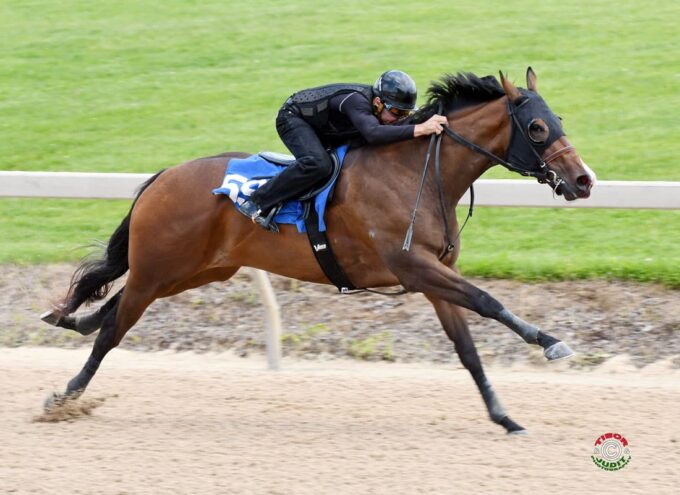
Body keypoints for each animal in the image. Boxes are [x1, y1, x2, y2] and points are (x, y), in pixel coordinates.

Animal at [42, 69, 596, 434]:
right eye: (537, 128)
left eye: (558, 118)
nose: (584, 181)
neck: (416, 172)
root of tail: (162, 177)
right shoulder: (413, 267)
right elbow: (488, 301)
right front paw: (551, 342)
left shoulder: (434, 275)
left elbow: (468, 350)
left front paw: (504, 416)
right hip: (162, 267)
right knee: (113, 329)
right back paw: (64, 396)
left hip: (195, 271)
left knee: (111, 309)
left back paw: (73, 323)